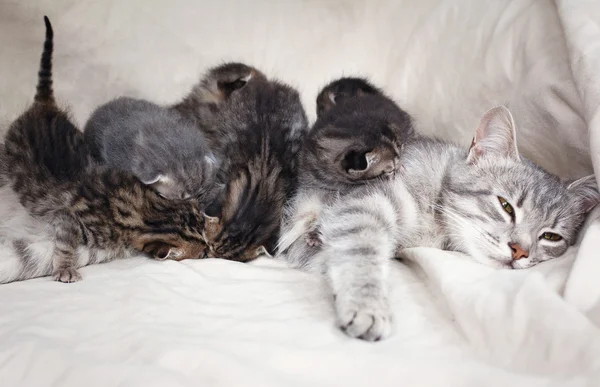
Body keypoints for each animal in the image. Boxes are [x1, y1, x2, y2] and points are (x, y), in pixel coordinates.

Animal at [278, 104, 596, 342]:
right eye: (506, 206)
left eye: (551, 237)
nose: (520, 251)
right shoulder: (364, 205)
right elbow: (361, 254)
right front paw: (366, 305)